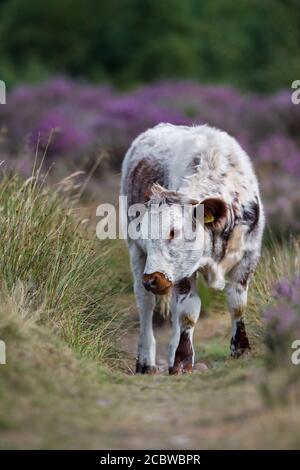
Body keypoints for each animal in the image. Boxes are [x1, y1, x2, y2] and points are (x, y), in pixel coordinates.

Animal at [120, 124, 264, 374]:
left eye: (173, 231)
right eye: (144, 232)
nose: (152, 279)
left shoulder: (249, 255)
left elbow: (237, 303)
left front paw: (241, 349)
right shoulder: (181, 273)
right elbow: (188, 312)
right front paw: (183, 361)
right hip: (138, 256)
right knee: (145, 304)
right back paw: (146, 361)